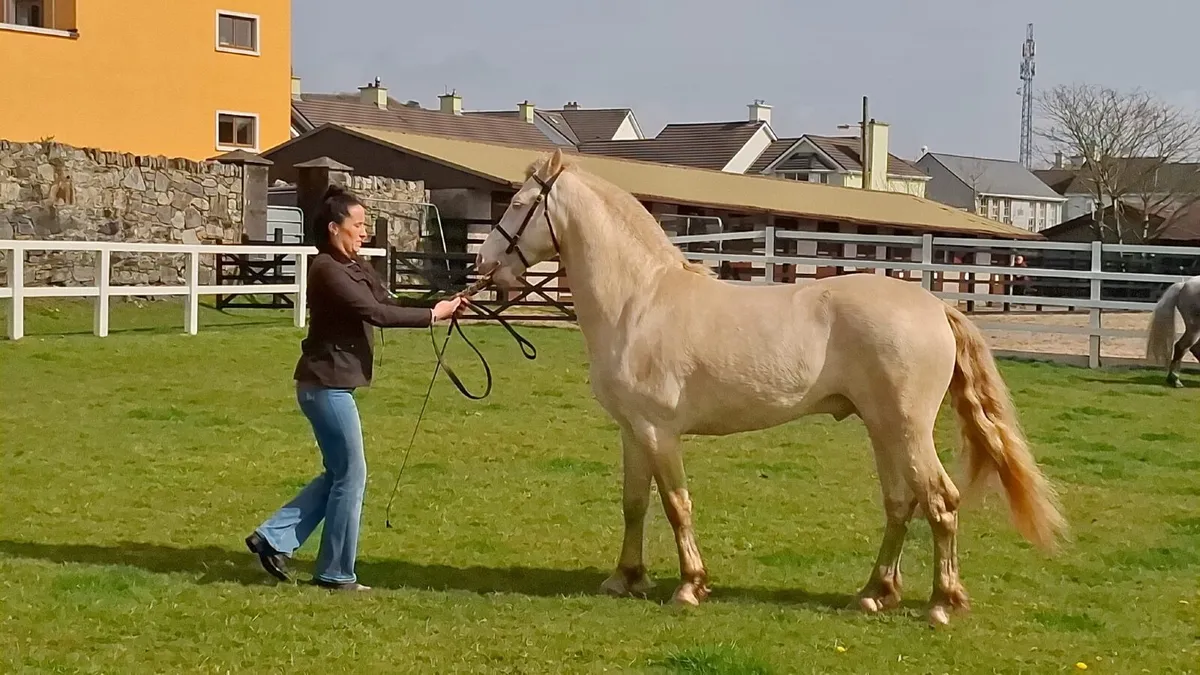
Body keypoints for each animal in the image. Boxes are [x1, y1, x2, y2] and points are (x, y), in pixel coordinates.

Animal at [473, 148, 1067, 627]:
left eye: (519, 203)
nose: (484, 262)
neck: (639, 301)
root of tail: (937, 307)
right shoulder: (633, 431)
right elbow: (634, 503)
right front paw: (626, 577)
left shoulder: (659, 431)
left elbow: (676, 505)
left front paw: (690, 586)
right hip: (883, 429)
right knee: (901, 503)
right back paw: (875, 594)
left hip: (906, 428)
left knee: (940, 502)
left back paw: (942, 604)